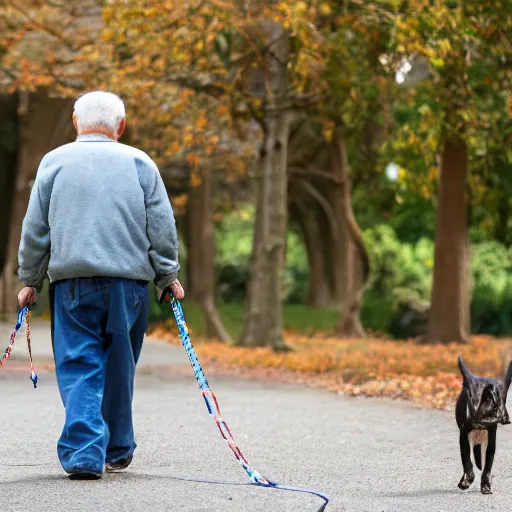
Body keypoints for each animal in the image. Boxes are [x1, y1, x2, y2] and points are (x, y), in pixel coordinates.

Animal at [456, 356, 512, 492]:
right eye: (469, 395)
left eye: (501, 396)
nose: (493, 407)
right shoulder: (464, 436)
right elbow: (467, 461)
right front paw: (466, 482)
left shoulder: (490, 439)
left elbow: (487, 464)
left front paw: (486, 485)